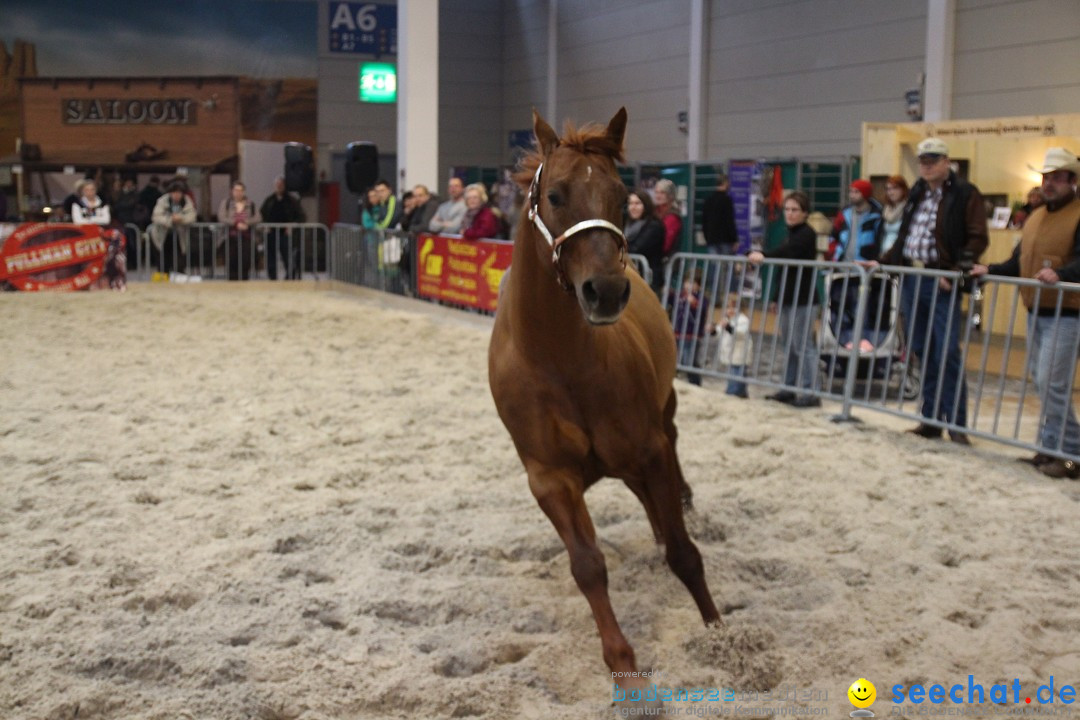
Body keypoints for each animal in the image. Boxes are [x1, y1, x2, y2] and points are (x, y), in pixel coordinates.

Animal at [488, 108, 721, 686]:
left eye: (622, 196)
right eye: (555, 195)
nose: (608, 291)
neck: (558, 360)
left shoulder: (649, 450)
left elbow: (685, 554)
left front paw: (720, 633)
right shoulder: (550, 479)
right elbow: (589, 566)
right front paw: (622, 664)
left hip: (663, 419)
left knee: (672, 457)